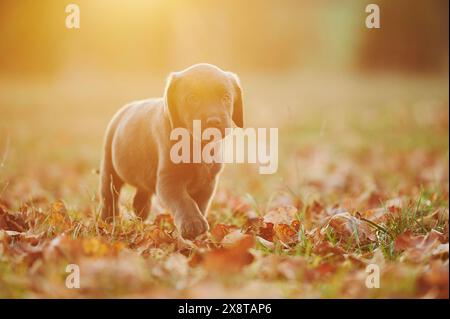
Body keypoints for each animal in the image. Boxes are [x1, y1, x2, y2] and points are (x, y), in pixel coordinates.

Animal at [100, 63, 244, 240]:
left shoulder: (208, 182)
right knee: (109, 195)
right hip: (109, 167)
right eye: (192, 98)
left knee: (142, 191)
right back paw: (108, 220)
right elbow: (183, 200)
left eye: (226, 97)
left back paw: (140, 210)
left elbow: (200, 204)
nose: (214, 121)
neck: (196, 145)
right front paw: (193, 224)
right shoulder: (169, 180)